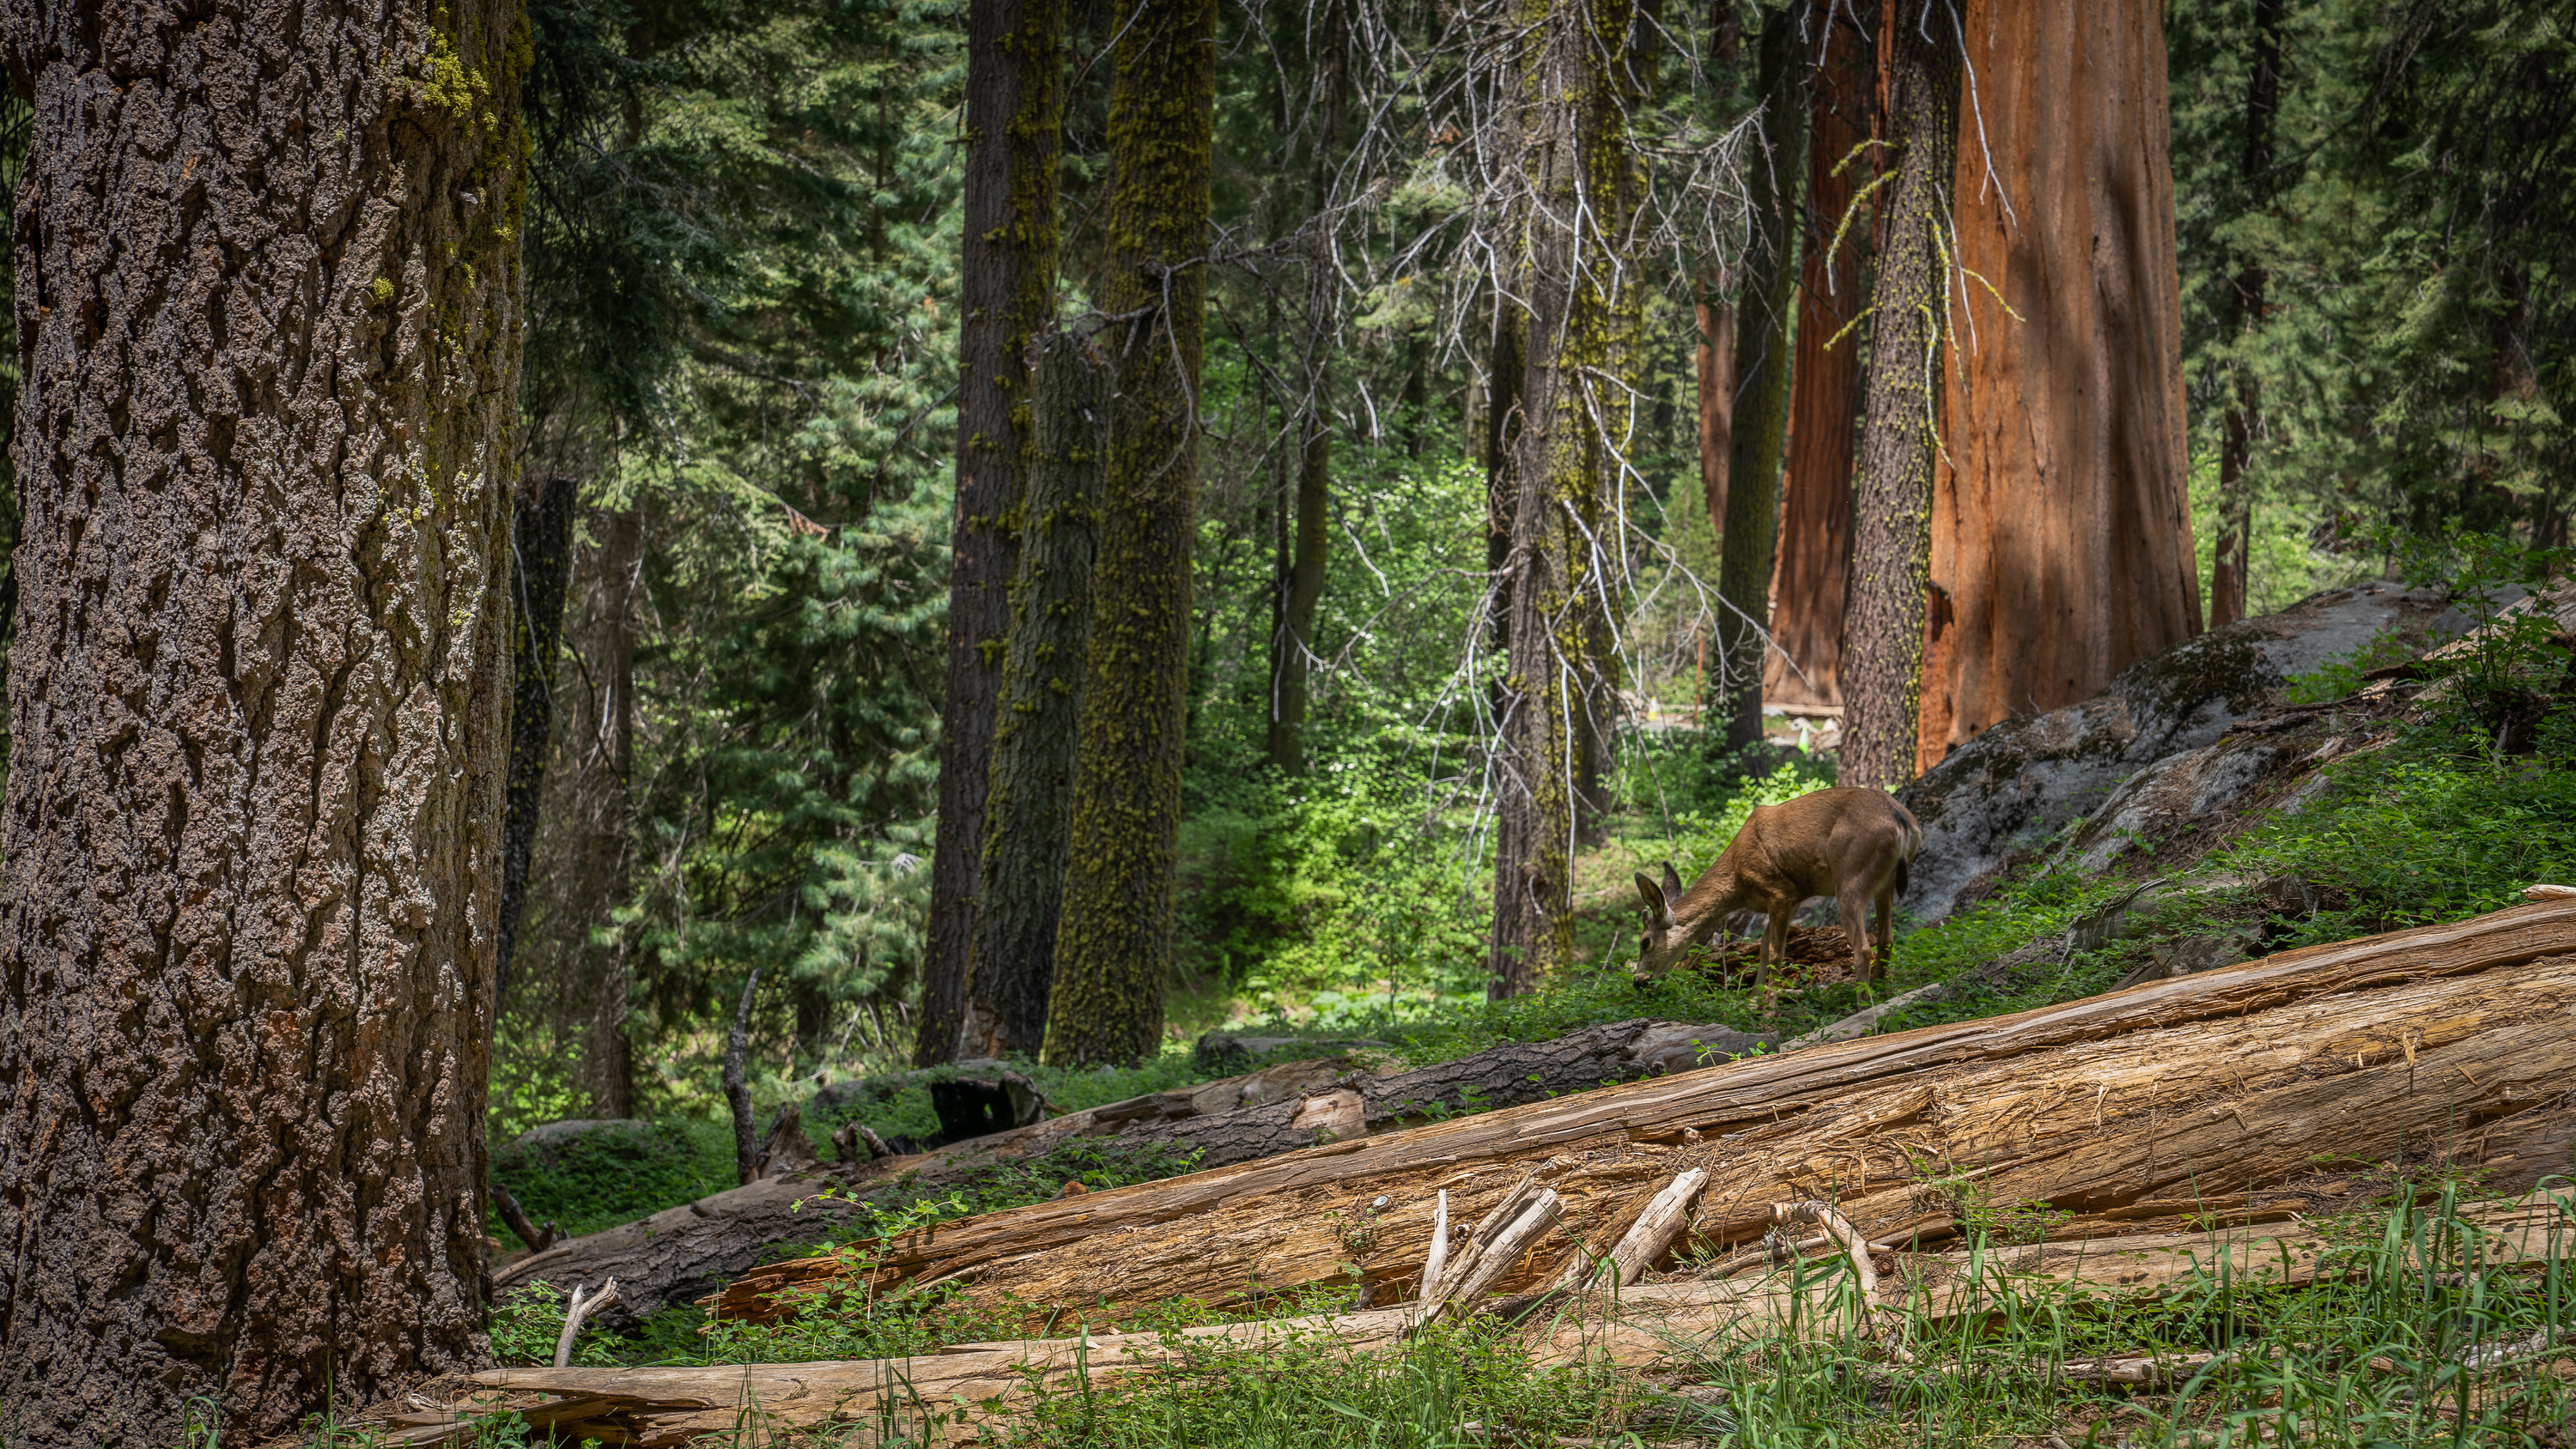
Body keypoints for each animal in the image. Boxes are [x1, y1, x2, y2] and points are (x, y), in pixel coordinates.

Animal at [1630, 786, 1923, 998]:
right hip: (1885, 883)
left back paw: (1863, 1006)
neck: (1738, 881)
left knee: (1863, 948)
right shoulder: (1790, 898)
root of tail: (1902, 822)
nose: (1639, 981)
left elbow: (1775, 953)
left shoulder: (1777, 892)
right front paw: (1753, 1001)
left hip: (1850, 876)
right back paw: (1880, 992)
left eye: (1645, 942)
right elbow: (1762, 949)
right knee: (1886, 939)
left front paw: (1767, 1007)